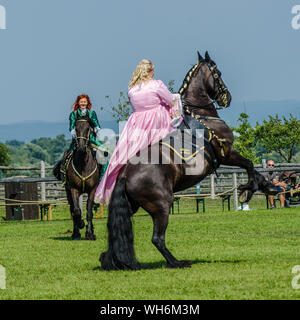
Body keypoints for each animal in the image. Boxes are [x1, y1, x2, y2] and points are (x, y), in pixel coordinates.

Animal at [99, 52, 278, 270]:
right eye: (218, 73)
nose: (227, 98)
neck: (203, 117)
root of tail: (125, 174)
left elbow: (253, 168)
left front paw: (269, 187)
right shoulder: (226, 153)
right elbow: (250, 165)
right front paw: (250, 189)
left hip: (131, 206)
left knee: (115, 234)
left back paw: (113, 261)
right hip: (162, 205)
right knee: (157, 238)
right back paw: (177, 262)